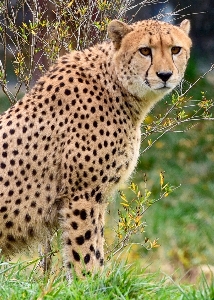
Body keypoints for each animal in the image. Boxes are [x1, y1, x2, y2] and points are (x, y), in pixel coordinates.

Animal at [0, 18, 191, 276]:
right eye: (144, 51)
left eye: (175, 49)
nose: (165, 75)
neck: (116, 84)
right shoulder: (82, 194)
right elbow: (85, 252)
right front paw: (88, 281)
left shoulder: (97, 196)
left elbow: (96, 248)